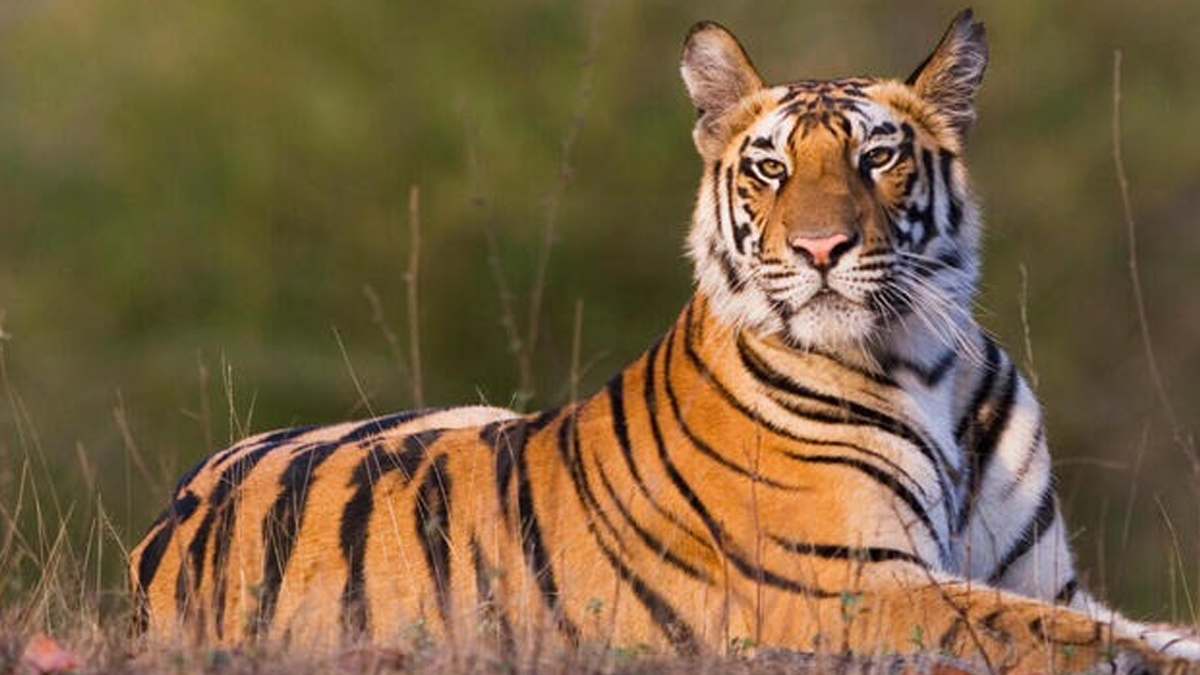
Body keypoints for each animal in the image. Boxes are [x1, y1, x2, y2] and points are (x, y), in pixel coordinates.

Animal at [130, 10, 1200, 673]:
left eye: (877, 156)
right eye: (770, 168)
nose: (820, 248)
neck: (925, 361)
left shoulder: (1043, 574)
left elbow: (1121, 623)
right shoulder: (849, 583)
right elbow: (1067, 638)